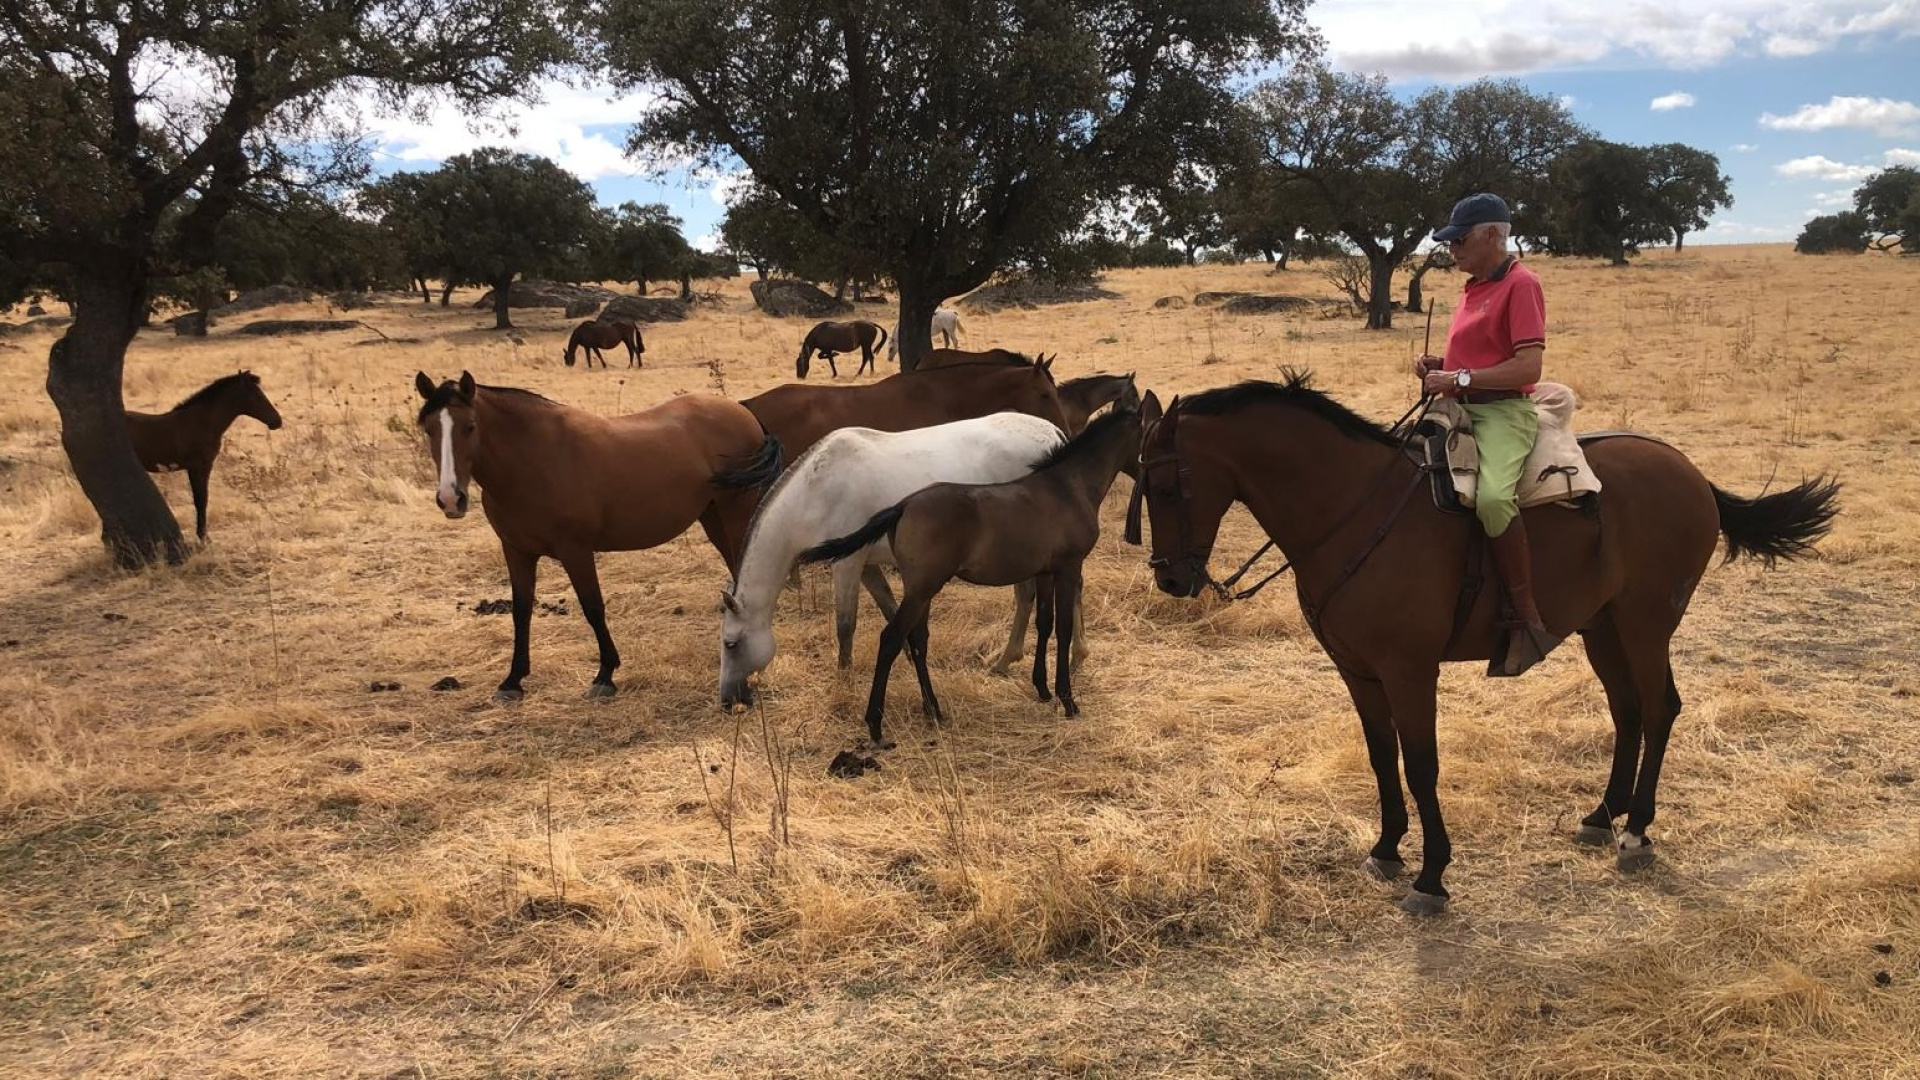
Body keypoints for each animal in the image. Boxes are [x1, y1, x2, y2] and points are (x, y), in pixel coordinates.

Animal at [125, 370, 283, 541]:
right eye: (257, 396)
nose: (277, 421)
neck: (202, 423)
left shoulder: (204, 467)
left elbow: (203, 499)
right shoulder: (198, 467)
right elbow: (200, 500)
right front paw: (203, 537)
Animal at [413, 371, 783, 700]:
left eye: (469, 426)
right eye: (429, 429)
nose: (450, 499)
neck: (534, 459)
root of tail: (744, 413)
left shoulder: (575, 550)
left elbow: (592, 607)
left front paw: (605, 675)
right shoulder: (516, 550)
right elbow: (521, 611)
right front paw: (513, 680)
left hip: (735, 512)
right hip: (712, 516)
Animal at [718, 413, 1067, 710]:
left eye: (731, 644)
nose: (726, 700)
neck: (815, 492)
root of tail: (1052, 433)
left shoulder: (846, 564)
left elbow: (845, 626)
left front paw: (843, 686)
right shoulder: (867, 566)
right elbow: (890, 611)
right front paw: (911, 662)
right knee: (1030, 597)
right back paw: (1020, 661)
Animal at [798, 402, 1148, 746]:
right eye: (1150, 433)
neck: (1067, 487)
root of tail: (903, 506)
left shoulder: (1046, 571)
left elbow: (1044, 623)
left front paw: (1042, 689)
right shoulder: (1068, 567)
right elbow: (1062, 628)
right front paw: (1068, 700)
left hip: (921, 591)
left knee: (918, 641)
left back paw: (934, 711)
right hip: (921, 590)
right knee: (891, 640)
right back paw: (876, 725)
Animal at [1132, 372, 1839, 914]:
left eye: (1165, 485)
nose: (1170, 578)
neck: (1357, 510)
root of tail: (1688, 469)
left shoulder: (1410, 671)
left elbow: (1420, 764)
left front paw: (1431, 875)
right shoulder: (1359, 673)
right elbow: (1380, 758)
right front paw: (1386, 849)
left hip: (1644, 625)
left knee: (1661, 709)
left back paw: (1637, 830)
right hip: (1602, 628)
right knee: (1628, 711)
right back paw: (1602, 814)